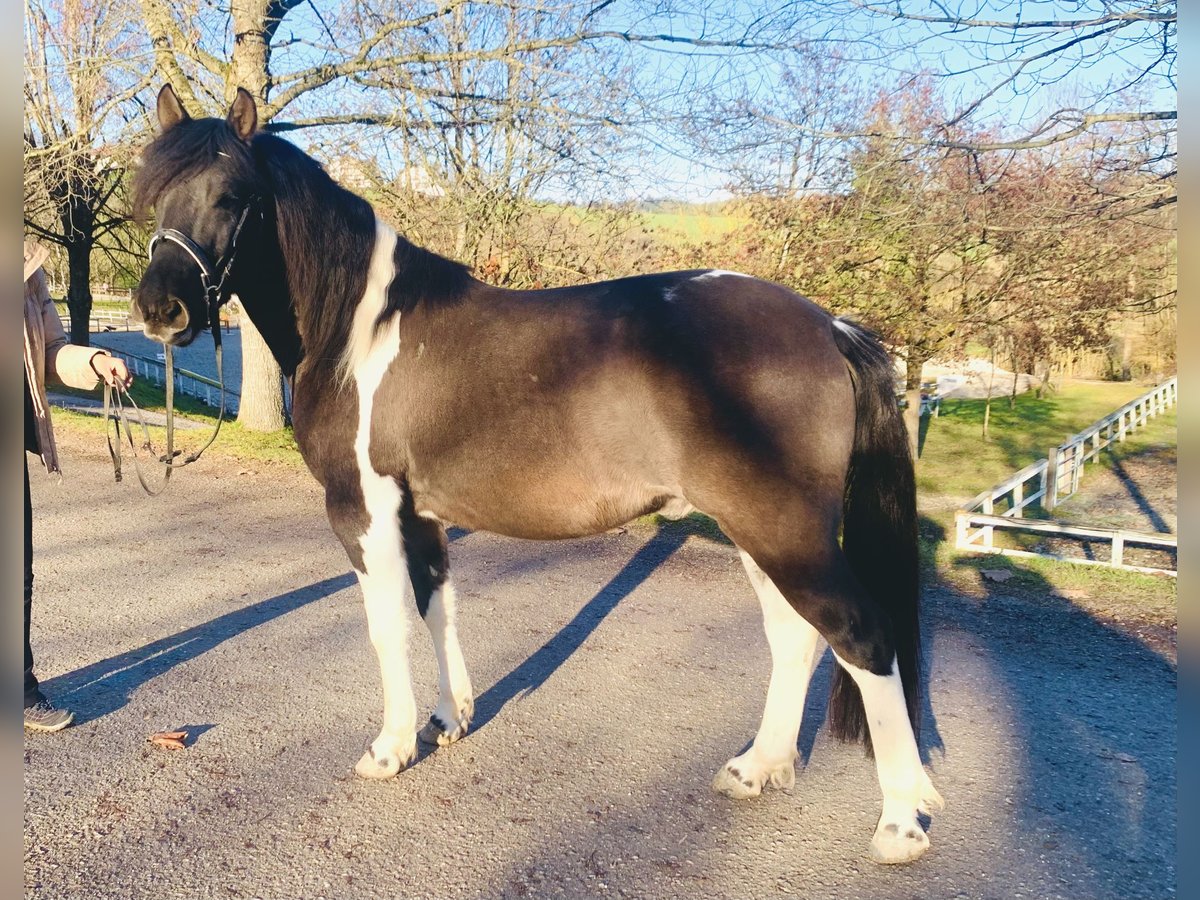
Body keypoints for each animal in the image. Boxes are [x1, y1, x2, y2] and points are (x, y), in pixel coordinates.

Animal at [131, 86, 945, 868]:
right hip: (757, 528)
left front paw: (390, 749)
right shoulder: (422, 515)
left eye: (232, 194)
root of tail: (827, 327)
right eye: (152, 191)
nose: (158, 308)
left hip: (782, 529)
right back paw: (758, 767)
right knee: (794, 636)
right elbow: (437, 608)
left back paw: (900, 824)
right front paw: (447, 720)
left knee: (861, 637)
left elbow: (388, 626)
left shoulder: (363, 511)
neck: (360, 334)